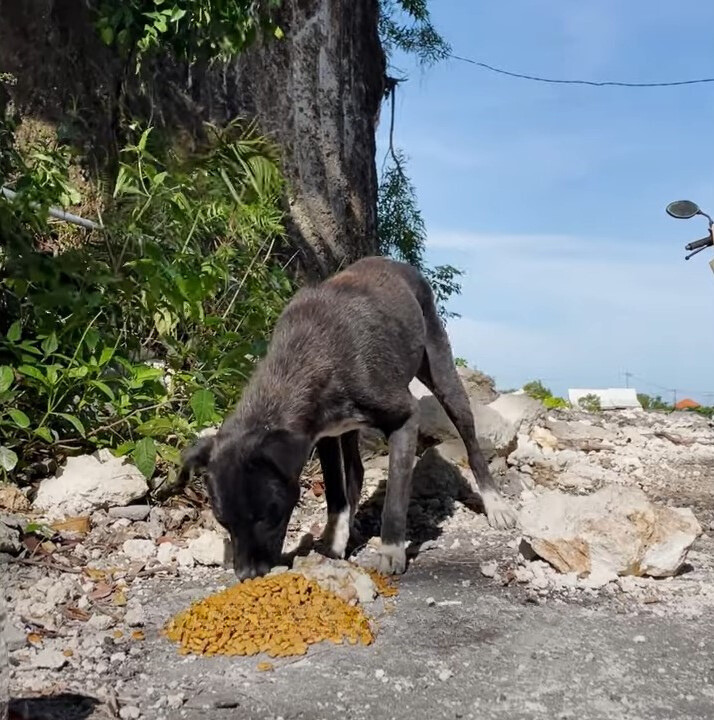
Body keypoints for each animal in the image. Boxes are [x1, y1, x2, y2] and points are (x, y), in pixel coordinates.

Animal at [177, 256, 512, 584]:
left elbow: (395, 497)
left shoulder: (405, 417)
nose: (247, 576)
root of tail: (399, 264)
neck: (307, 357)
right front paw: (336, 541)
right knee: (356, 471)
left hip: (443, 375)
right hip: (349, 428)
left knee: (470, 441)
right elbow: (336, 494)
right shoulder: (323, 434)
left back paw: (495, 503)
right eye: (223, 521)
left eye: (267, 515)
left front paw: (391, 550)